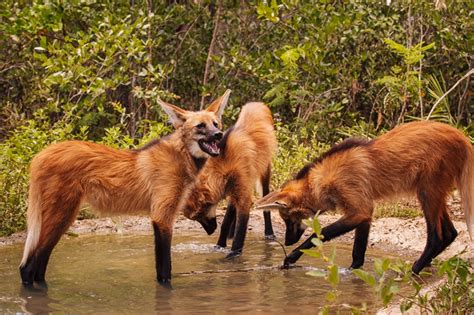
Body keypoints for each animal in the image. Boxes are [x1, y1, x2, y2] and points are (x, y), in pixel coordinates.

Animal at [20, 89, 231, 286]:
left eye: (215, 124)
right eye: (200, 126)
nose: (219, 135)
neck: (182, 155)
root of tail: (40, 155)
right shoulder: (161, 217)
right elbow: (164, 270)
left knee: (38, 266)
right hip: (62, 214)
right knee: (27, 267)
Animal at [181, 102, 278, 258]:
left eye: (200, 215)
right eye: (195, 218)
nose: (210, 232)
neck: (225, 164)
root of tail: (257, 103)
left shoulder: (244, 195)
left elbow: (240, 234)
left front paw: (232, 256)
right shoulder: (233, 187)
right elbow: (225, 222)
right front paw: (219, 245)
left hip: (264, 171)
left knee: (265, 199)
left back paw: (269, 233)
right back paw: (230, 234)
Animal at [258, 121, 472, 274]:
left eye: (287, 219)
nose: (286, 242)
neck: (320, 181)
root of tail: (461, 137)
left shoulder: (359, 208)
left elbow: (321, 233)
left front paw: (291, 257)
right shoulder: (364, 213)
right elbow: (358, 252)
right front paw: (353, 272)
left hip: (427, 191)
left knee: (436, 236)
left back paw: (413, 270)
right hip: (433, 191)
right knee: (451, 233)